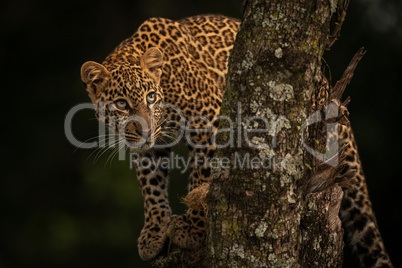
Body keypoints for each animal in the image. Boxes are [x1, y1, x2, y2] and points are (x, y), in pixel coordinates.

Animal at [81, 13, 392, 266]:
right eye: (122, 104)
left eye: (150, 97)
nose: (146, 130)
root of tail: (329, 88)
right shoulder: (147, 146)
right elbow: (151, 186)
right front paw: (154, 231)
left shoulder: (208, 120)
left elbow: (203, 174)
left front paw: (194, 228)